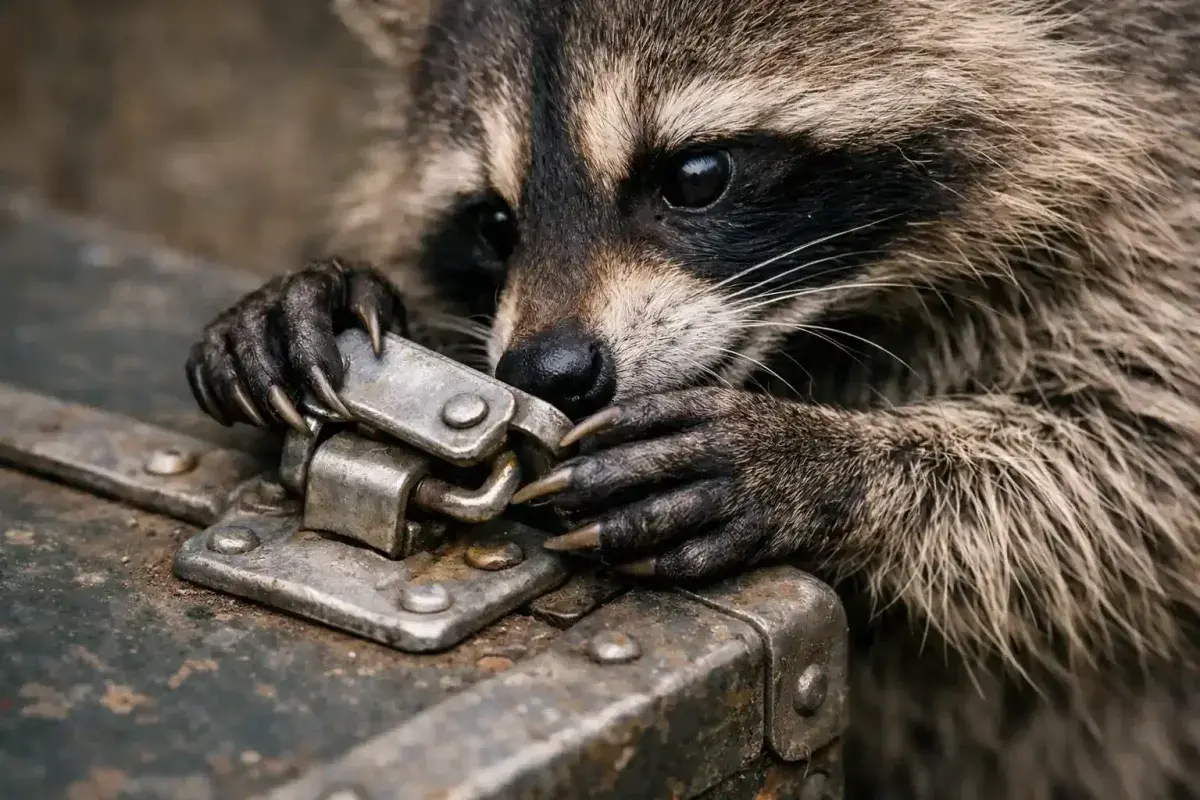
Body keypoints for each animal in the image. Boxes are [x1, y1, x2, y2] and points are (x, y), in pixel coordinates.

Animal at [183, 1, 1200, 798]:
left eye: (697, 176)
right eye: (495, 222)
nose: (549, 372)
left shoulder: (1162, 203)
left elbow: (1146, 465)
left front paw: (823, 462)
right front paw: (334, 297)